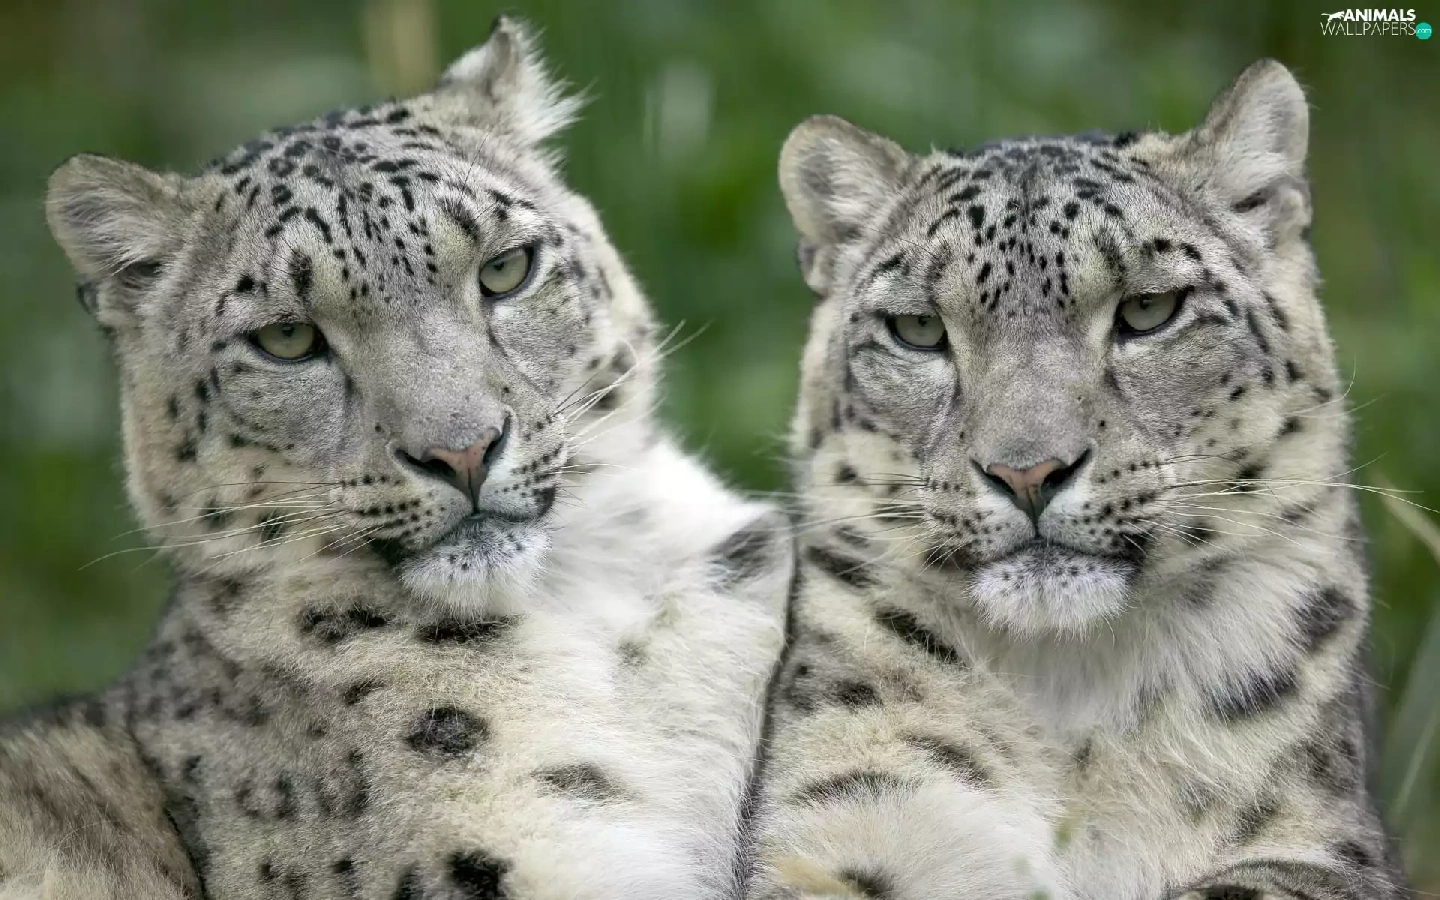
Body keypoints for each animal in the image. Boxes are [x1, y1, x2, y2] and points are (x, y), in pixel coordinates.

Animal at [741, 60, 1409, 900]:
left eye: (1150, 308)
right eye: (918, 328)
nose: (1027, 471)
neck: (1069, 700)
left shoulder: (1318, 847)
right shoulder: (838, 825)